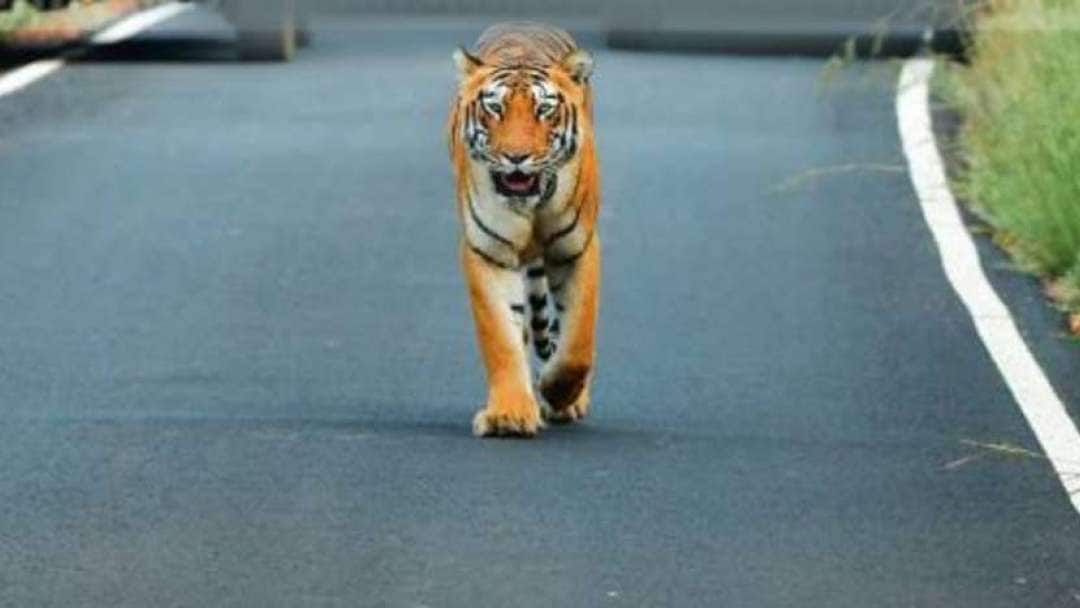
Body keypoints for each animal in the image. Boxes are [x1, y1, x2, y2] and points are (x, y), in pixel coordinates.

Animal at [447, 22, 601, 437]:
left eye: (544, 109)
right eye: (494, 108)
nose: (516, 157)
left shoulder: (576, 249)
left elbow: (577, 340)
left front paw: (558, 393)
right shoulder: (489, 252)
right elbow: (501, 338)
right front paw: (509, 414)